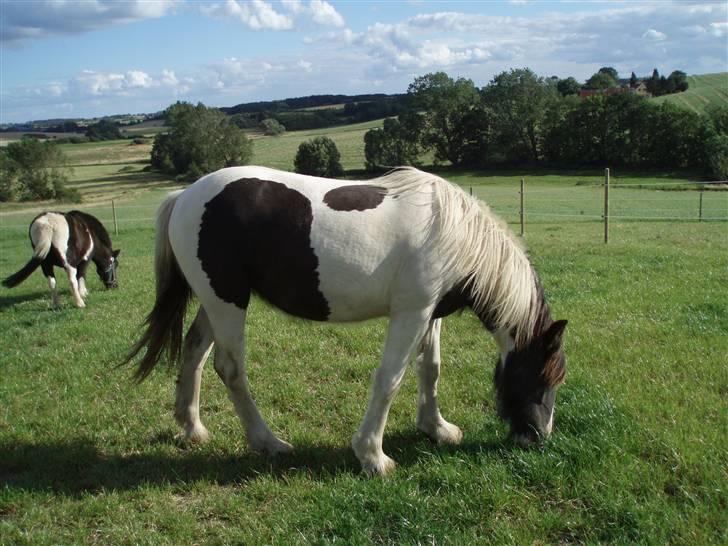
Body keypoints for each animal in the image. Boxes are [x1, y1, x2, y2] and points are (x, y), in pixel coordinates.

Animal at [126, 165, 568, 472]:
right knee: (230, 368)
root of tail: (185, 195)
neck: (452, 233)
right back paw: (268, 442)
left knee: (194, 353)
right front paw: (373, 456)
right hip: (227, 302)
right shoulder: (411, 313)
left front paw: (437, 429)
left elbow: (430, 369)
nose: (537, 437)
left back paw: (192, 429)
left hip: (214, 300)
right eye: (544, 376)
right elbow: (390, 380)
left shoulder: (430, 313)